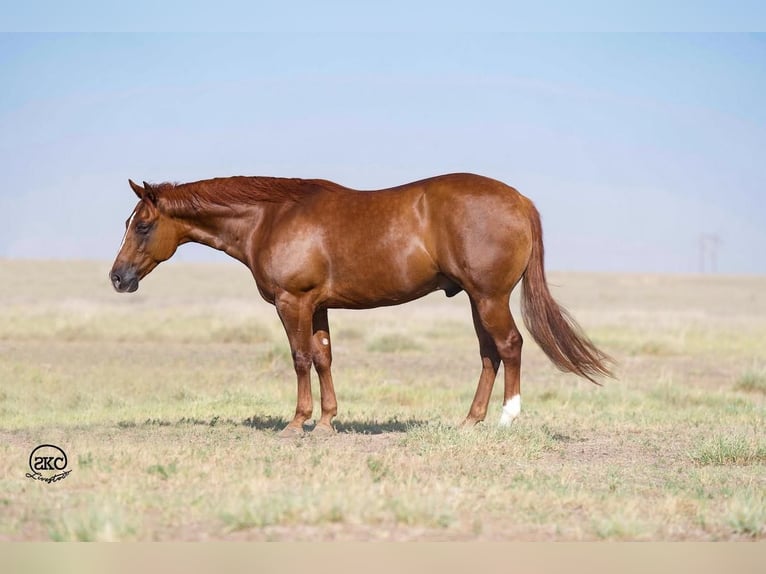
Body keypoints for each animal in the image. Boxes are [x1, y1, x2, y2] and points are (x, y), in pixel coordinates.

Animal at [109, 173, 612, 438]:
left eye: (143, 225)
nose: (118, 277)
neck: (272, 218)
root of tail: (520, 200)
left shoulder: (292, 302)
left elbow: (299, 358)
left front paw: (297, 423)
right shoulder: (317, 305)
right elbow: (323, 357)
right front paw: (327, 422)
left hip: (489, 298)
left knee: (509, 345)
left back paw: (507, 418)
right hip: (476, 300)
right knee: (489, 354)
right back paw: (470, 421)